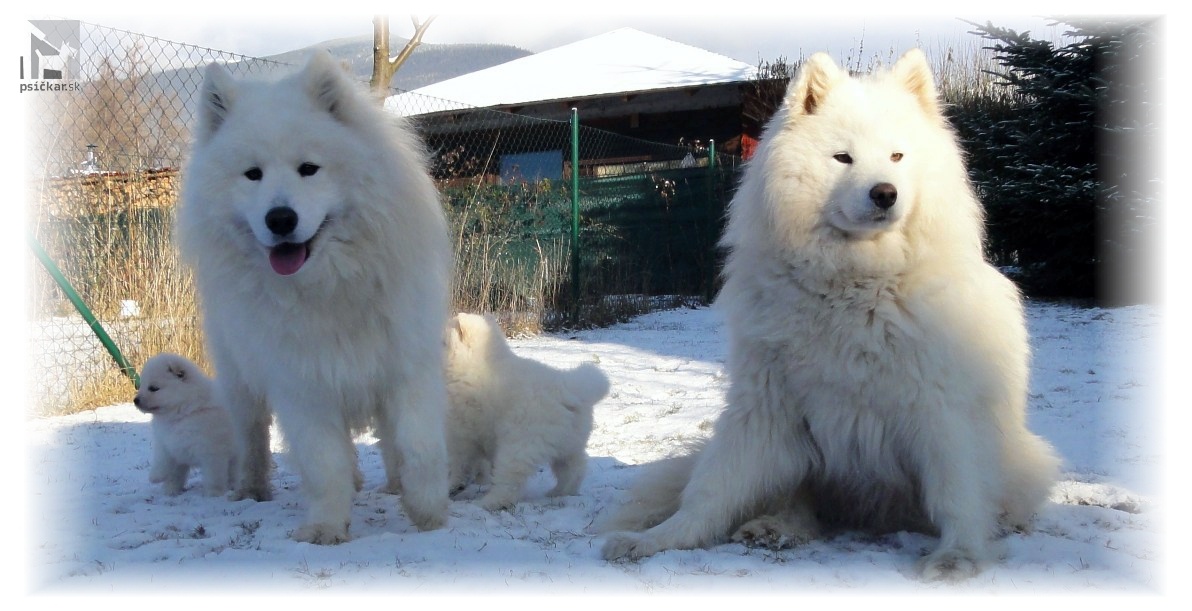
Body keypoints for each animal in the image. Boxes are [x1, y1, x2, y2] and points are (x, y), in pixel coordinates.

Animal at [135, 352, 237, 495]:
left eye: (153, 388)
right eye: (141, 386)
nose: (135, 400)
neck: (182, 414)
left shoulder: (212, 452)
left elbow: (213, 476)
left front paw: (214, 493)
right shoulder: (168, 444)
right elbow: (164, 463)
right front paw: (165, 485)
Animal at [174, 54, 452, 543]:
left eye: (309, 168)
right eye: (253, 174)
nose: (281, 219)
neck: (330, 286)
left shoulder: (406, 368)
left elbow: (418, 447)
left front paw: (429, 513)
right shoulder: (303, 385)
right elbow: (325, 464)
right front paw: (326, 526)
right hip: (241, 378)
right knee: (253, 437)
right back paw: (252, 489)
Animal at [448, 314, 615, 509]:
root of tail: (571, 391)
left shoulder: (462, 435)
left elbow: (459, 463)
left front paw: (453, 485)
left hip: (518, 447)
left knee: (509, 484)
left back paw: (487, 503)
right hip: (568, 445)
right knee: (575, 469)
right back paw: (559, 492)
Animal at [605, 50, 1063, 578]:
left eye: (897, 156)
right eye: (843, 158)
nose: (884, 193)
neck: (856, 284)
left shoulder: (941, 410)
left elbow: (956, 492)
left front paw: (959, 555)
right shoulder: (766, 404)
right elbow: (712, 490)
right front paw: (659, 539)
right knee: (795, 502)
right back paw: (776, 526)